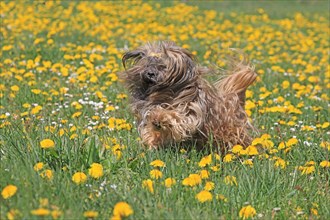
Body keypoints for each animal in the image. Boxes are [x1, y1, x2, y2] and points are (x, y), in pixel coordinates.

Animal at [122, 40, 256, 151]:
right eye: (147, 64)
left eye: (163, 66)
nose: (150, 73)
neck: (164, 93)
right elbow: (150, 130)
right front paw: (152, 143)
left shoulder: (189, 111)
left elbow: (175, 116)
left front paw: (158, 117)